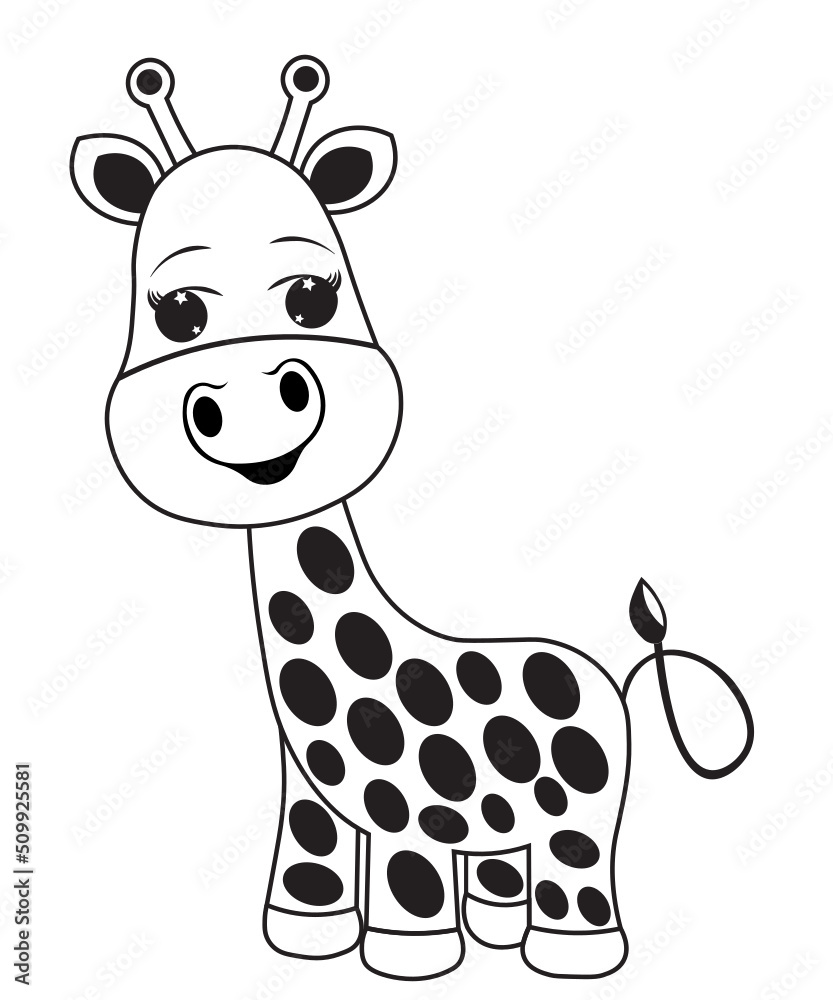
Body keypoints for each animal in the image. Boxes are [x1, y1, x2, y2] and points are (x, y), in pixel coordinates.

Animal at [69, 55, 754, 982]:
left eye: (312, 297)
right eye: (176, 312)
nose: (249, 406)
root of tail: (610, 675)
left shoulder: (409, 815)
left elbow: (409, 893)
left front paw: (406, 959)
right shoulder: (310, 795)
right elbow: (311, 865)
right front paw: (308, 939)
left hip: (580, 814)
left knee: (577, 870)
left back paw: (567, 954)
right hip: (508, 827)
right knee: (502, 864)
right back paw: (498, 933)